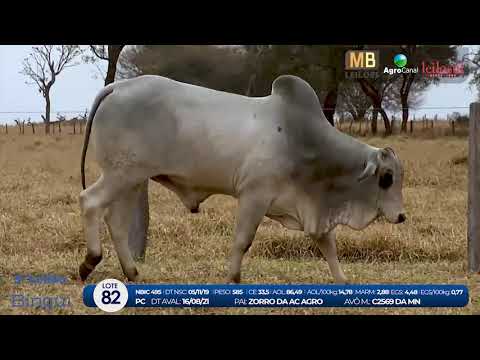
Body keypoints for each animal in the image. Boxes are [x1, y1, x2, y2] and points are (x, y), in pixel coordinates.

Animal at [79, 74, 404, 284]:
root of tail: (117, 86)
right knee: (90, 201)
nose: (401, 216)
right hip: (121, 174)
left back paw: (132, 272)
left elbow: (328, 246)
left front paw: (342, 281)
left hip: (132, 181)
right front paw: (233, 278)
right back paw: (90, 261)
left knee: (116, 222)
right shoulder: (254, 196)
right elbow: (242, 241)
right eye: (387, 178)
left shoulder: (312, 209)